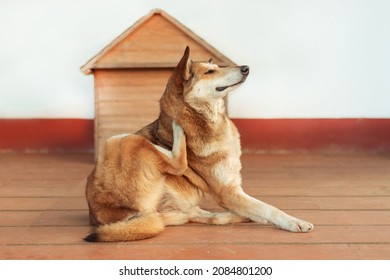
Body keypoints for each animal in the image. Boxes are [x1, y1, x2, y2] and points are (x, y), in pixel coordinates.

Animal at [84, 47, 314, 242]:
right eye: (210, 71)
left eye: (218, 67)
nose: (246, 68)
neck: (208, 118)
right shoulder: (228, 192)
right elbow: (268, 208)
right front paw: (295, 222)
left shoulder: (233, 188)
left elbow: (257, 207)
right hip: (118, 140)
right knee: (175, 162)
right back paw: (172, 138)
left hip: (180, 212)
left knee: (213, 218)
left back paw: (239, 216)